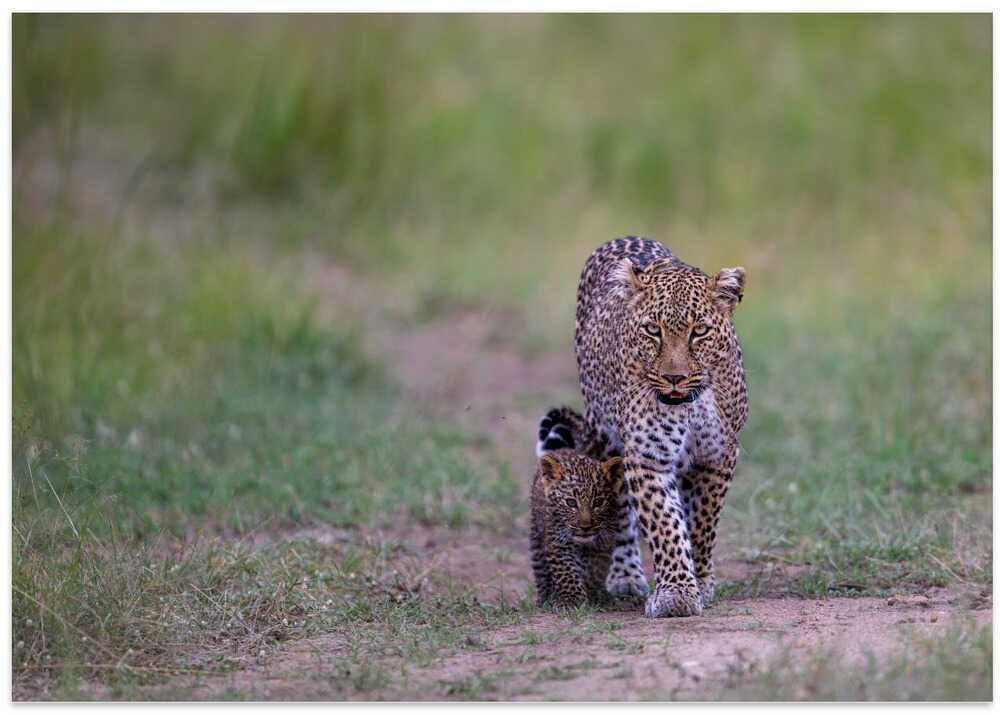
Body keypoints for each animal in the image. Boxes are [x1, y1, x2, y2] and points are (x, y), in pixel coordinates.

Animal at [530, 424, 626, 609]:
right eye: (571, 503)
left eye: (598, 502)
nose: (585, 526)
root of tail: (563, 448)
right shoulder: (557, 541)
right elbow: (566, 572)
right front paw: (572, 600)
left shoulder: (603, 543)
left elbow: (595, 571)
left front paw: (596, 594)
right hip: (536, 535)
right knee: (540, 569)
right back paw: (544, 597)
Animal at [573, 236, 748, 618]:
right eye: (653, 331)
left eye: (699, 332)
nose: (674, 378)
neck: (690, 406)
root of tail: (625, 236)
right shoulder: (647, 456)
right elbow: (664, 523)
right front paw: (676, 594)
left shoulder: (718, 455)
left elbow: (702, 523)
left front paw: (700, 580)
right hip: (603, 435)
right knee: (621, 509)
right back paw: (625, 575)